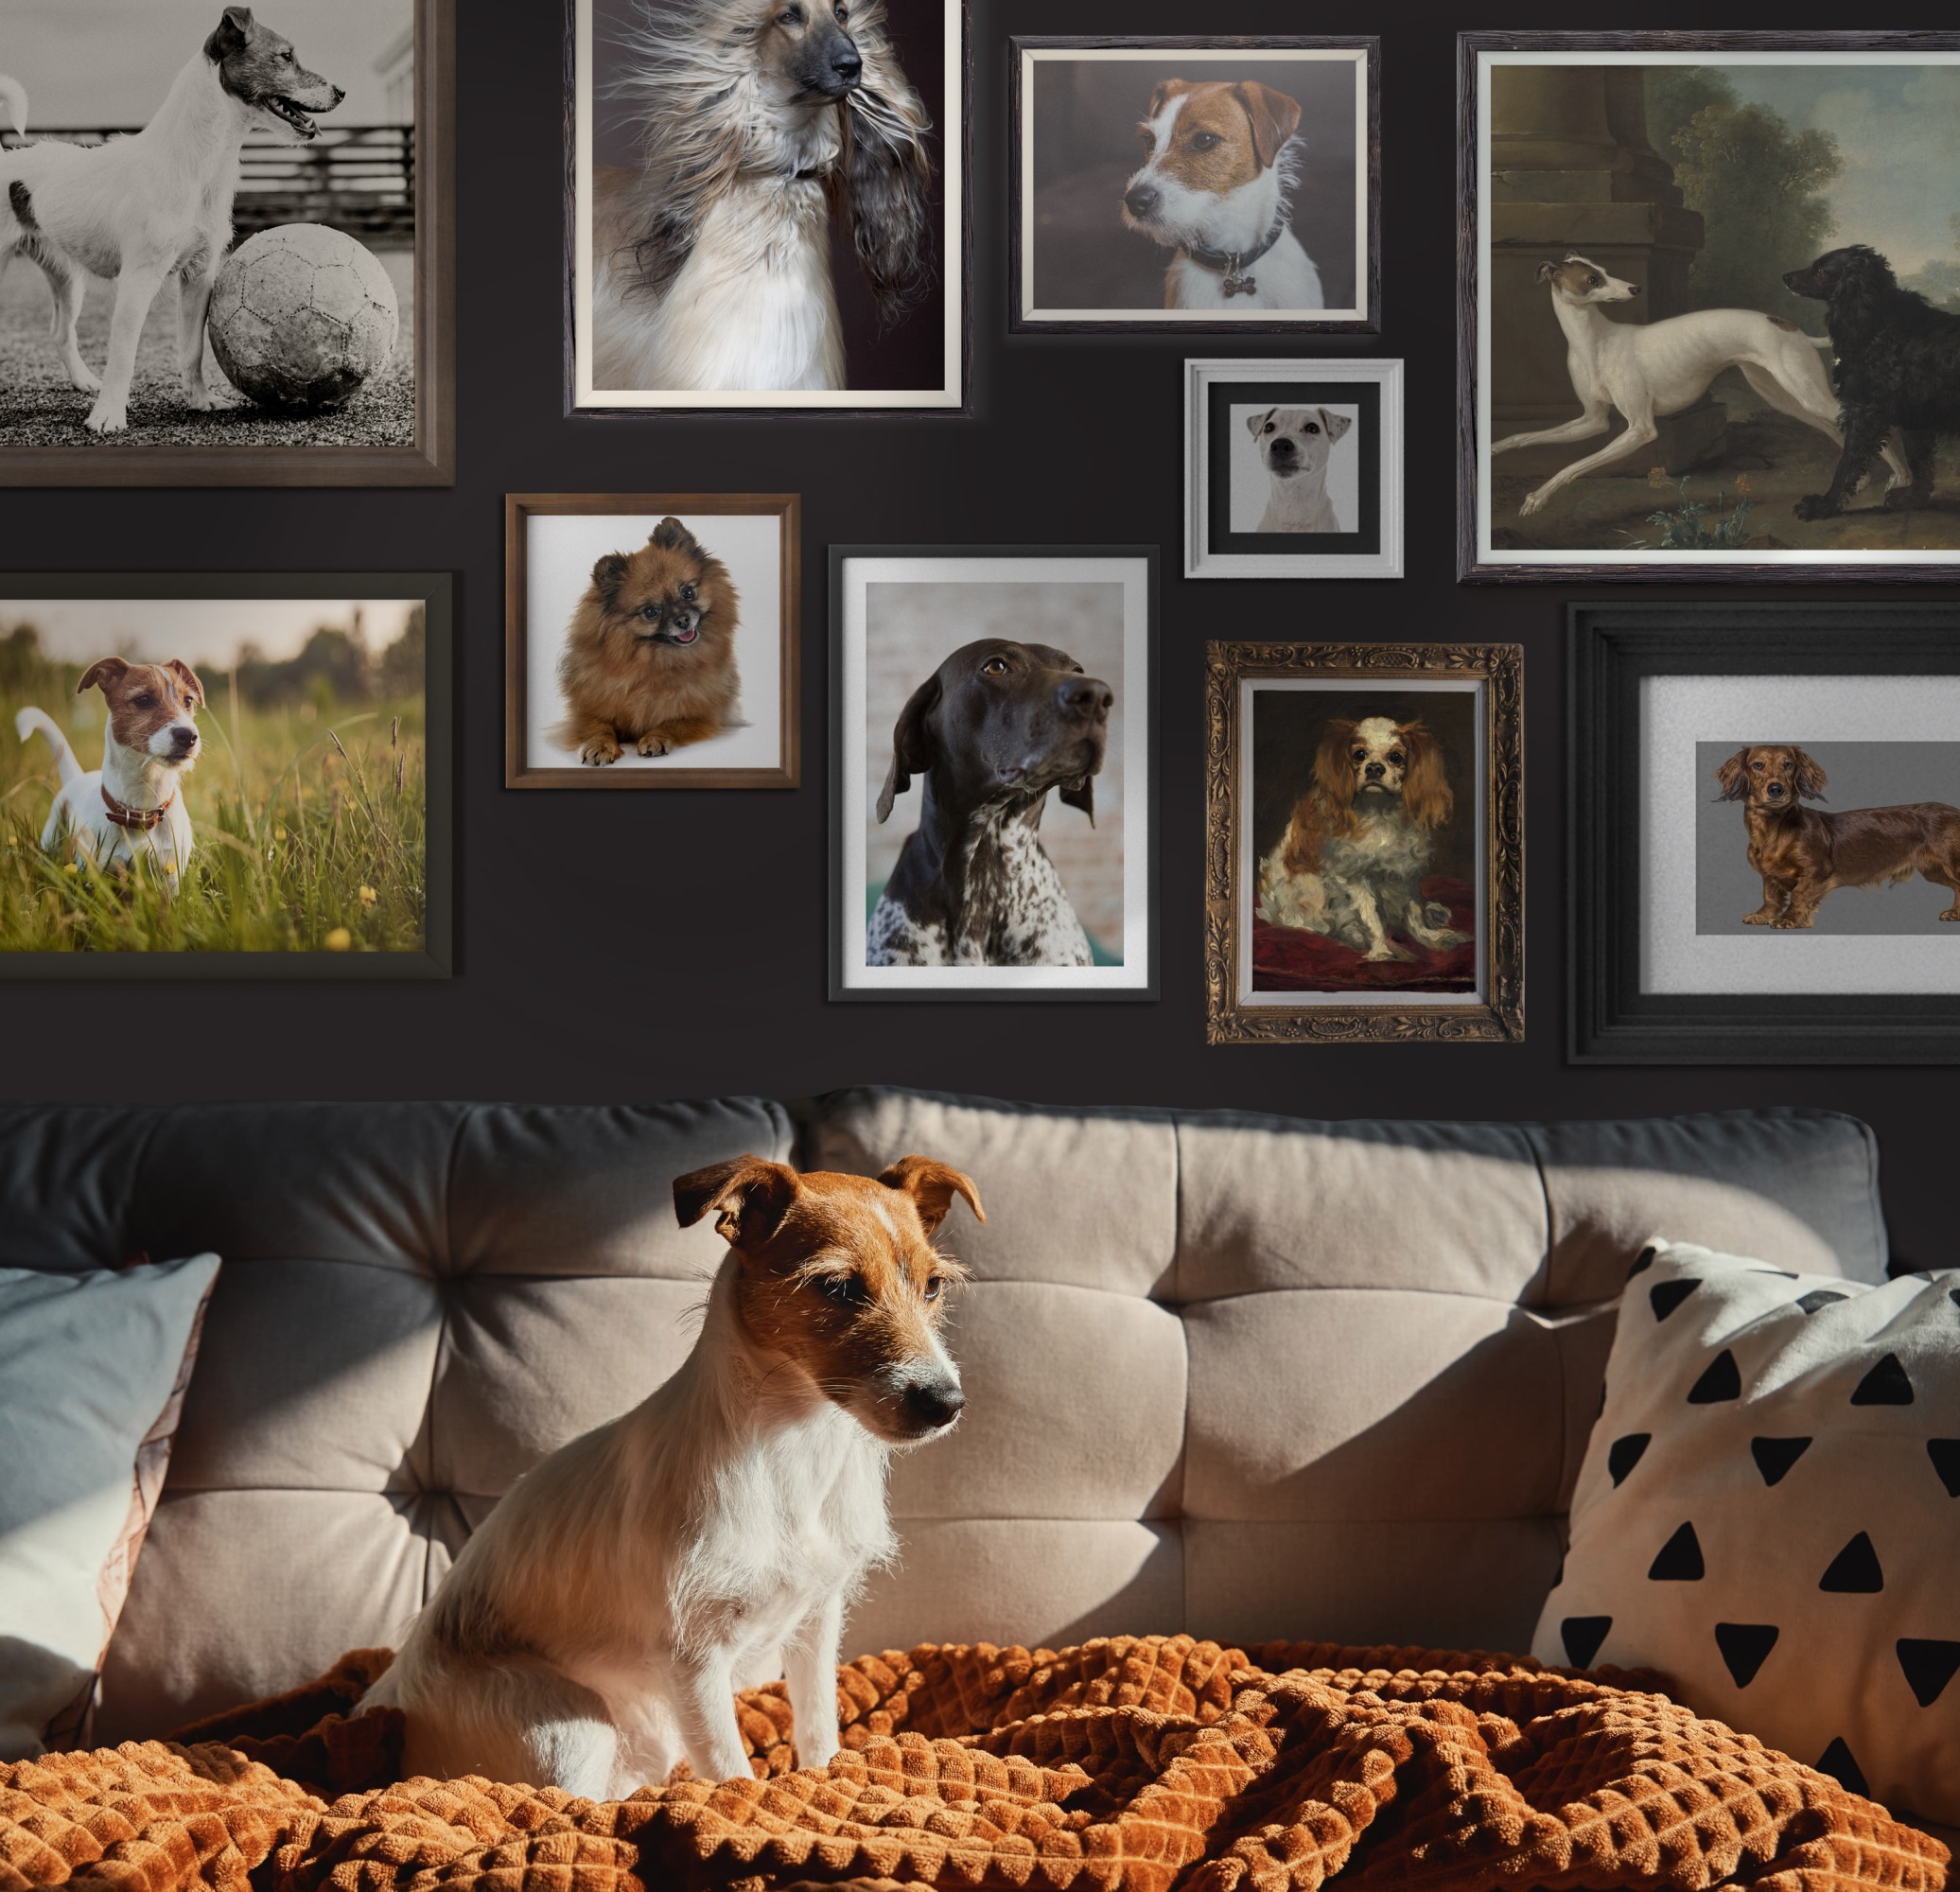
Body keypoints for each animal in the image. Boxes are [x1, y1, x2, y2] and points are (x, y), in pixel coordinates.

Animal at [16, 655, 205, 882]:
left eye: (188, 701)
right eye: (143, 700)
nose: (188, 736)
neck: (142, 808)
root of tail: (77, 777)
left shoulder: (171, 873)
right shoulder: (97, 872)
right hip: (52, 837)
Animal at [359, 1152, 980, 1788]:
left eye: (933, 1286)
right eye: (837, 1288)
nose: (946, 1403)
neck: (793, 1449)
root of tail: (388, 1699)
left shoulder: (815, 1621)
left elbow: (817, 1730)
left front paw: (821, 1774)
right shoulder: (693, 1661)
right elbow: (732, 1775)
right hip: (571, 1723)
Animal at [556, 514, 737, 764]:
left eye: (688, 592)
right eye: (651, 611)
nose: (683, 620)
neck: (655, 664)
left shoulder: (701, 715)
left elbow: (672, 723)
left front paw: (655, 738)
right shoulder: (588, 712)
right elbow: (598, 726)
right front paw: (600, 746)